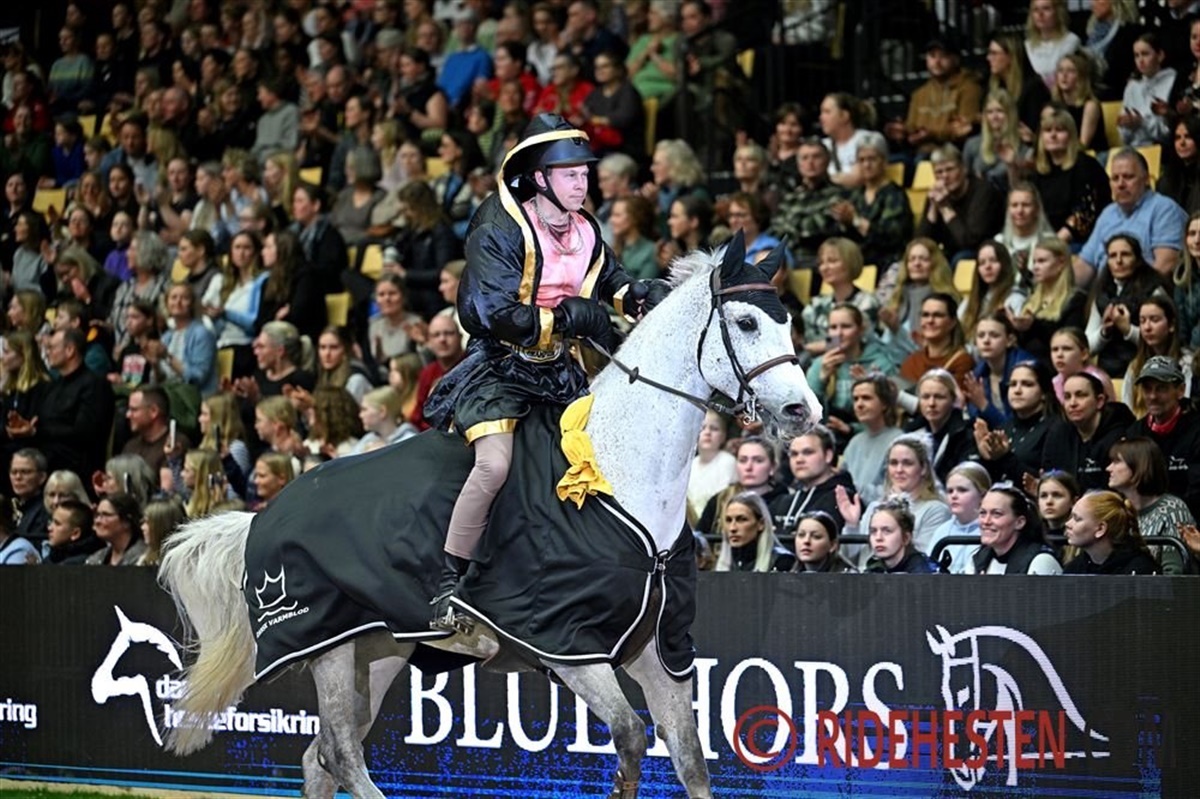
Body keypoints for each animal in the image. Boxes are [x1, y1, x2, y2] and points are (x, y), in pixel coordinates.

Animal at [158, 234, 822, 798]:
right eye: (746, 322)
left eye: (787, 320)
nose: (803, 411)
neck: (619, 478)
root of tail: (260, 517)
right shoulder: (569, 648)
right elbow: (632, 741)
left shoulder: (659, 652)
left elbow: (689, 759)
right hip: (329, 649)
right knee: (340, 755)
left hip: (379, 647)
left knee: (320, 758)